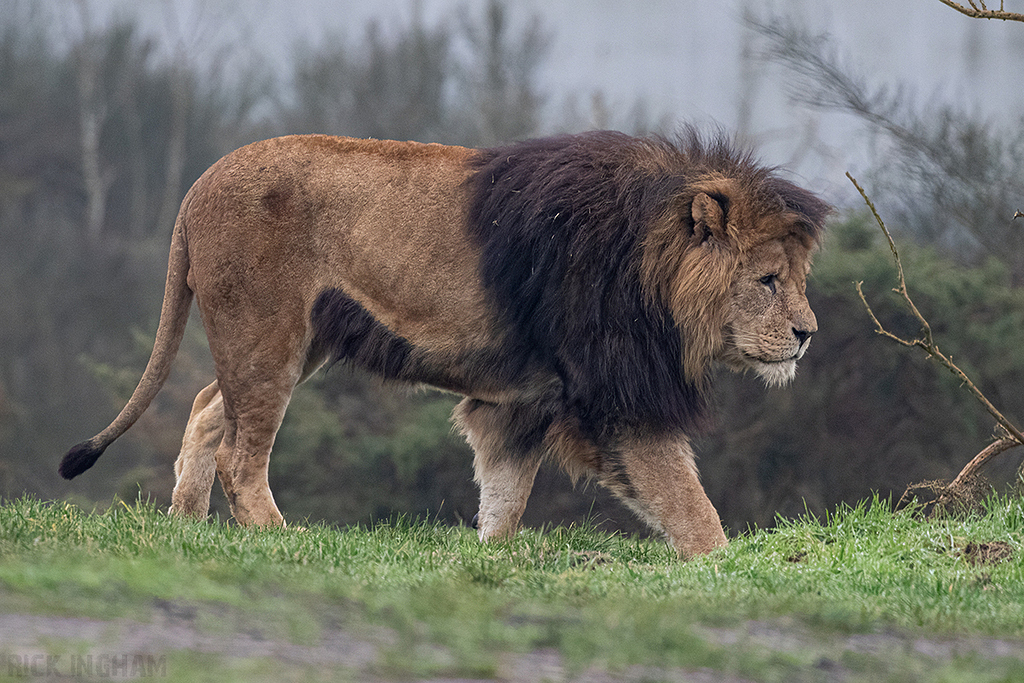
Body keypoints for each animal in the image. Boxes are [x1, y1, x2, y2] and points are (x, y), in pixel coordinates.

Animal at [60, 130, 829, 559]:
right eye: (766, 280)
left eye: (797, 278)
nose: (807, 335)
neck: (649, 261)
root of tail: (197, 186)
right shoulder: (617, 399)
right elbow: (688, 503)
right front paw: (728, 568)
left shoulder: (523, 404)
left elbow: (505, 497)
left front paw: (488, 557)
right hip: (266, 335)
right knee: (239, 455)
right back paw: (280, 537)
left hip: (290, 343)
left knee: (204, 407)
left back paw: (186, 529)